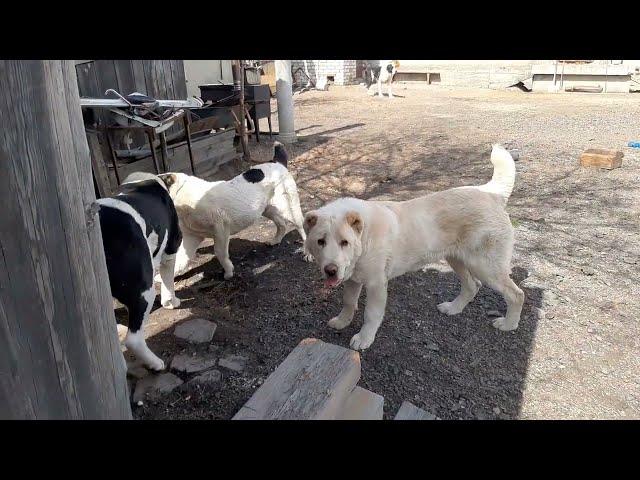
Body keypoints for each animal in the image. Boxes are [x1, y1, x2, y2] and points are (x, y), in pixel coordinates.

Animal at [97, 172, 182, 372]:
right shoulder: (171, 248)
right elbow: (168, 279)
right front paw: (171, 302)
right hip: (143, 291)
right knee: (133, 340)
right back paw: (155, 363)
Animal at [159, 141, 310, 280]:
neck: (181, 193)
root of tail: (278, 163)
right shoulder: (192, 236)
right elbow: (180, 261)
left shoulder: (221, 229)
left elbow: (219, 252)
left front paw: (228, 272)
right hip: (267, 209)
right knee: (281, 224)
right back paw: (276, 240)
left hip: (289, 209)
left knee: (301, 226)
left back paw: (307, 253)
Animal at [304, 144, 524, 350]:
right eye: (320, 241)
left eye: (345, 242)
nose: (330, 270)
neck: (365, 237)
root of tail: (490, 193)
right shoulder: (352, 280)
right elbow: (348, 302)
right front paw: (342, 321)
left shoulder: (376, 284)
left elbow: (371, 314)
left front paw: (364, 338)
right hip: (457, 259)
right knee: (472, 285)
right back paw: (453, 308)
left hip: (485, 266)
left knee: (516, 294)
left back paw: (509, 324)